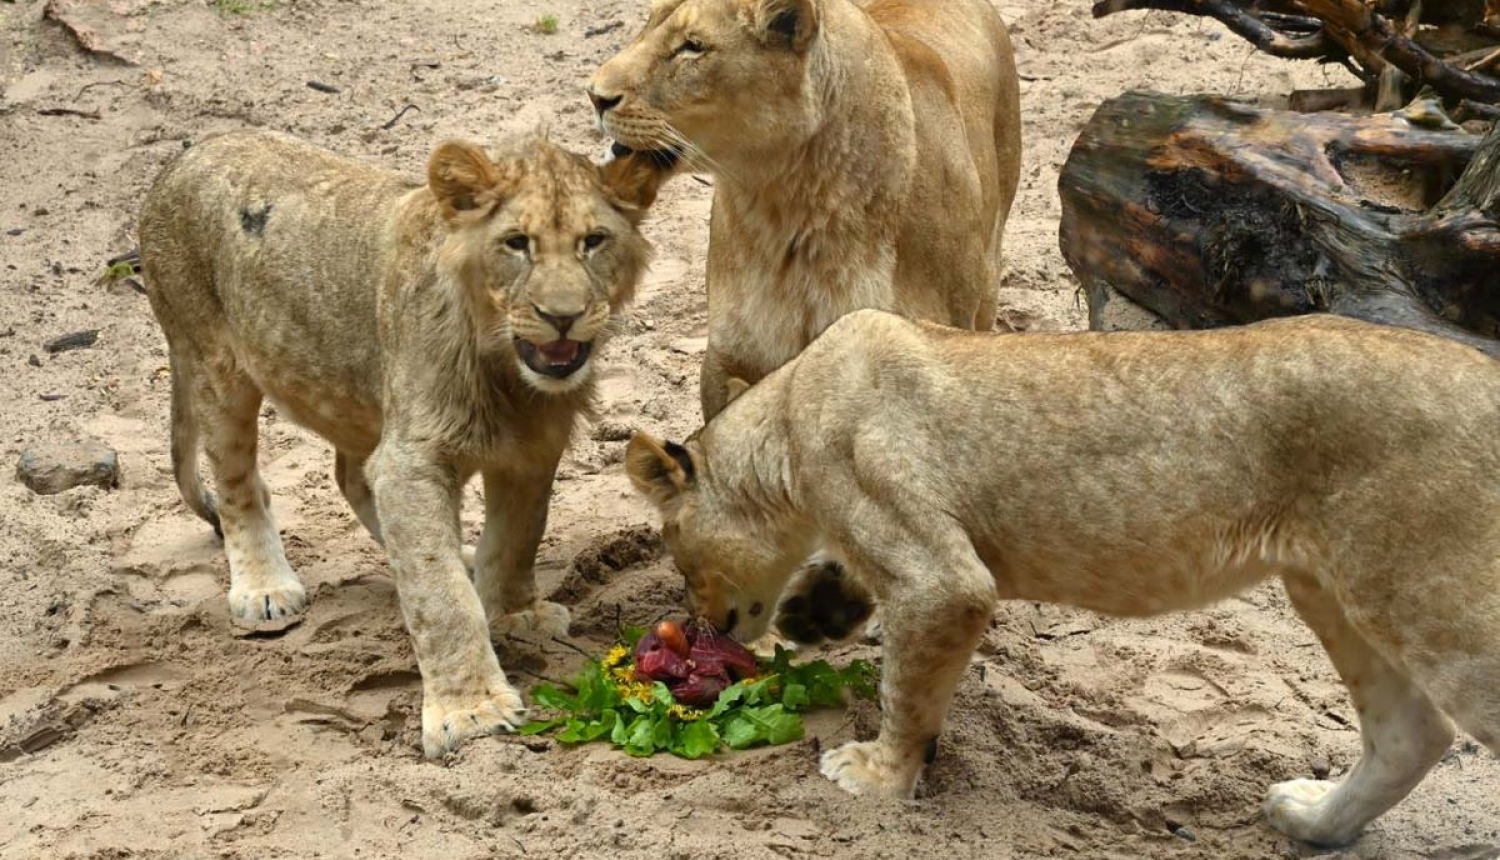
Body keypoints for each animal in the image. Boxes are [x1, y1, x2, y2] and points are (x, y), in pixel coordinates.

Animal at [141, 129, 669, 756]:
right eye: (517, 243)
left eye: (594, 241)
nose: (561, 317)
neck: (508, 373)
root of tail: (189, 151)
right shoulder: (414, 458)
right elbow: (438, 594)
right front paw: (470, 711)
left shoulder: (532, 449)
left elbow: (517, 539)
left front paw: (513, 612)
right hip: (215, 368)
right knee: (238, 484)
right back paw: (265, 587)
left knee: (350, 475)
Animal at [627, 309, 1500, 846]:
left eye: (675, 548)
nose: (698, 622)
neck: (786, 417)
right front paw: (819, 613)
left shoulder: (943, 578)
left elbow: (906, 688)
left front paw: (878, 776)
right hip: (1336, 591)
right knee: (1410, 734)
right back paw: (1313, 820)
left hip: (1435, 598)